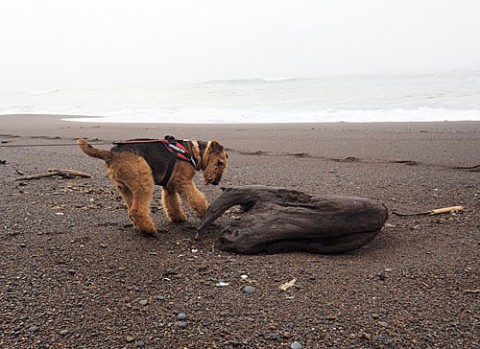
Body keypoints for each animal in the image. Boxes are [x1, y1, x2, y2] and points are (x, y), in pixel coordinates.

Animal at [78, 135, 228, 234]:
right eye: (220, 162)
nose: (216, 182)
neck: (193, 150)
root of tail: (110, 154)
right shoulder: (184, 183)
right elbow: (197, 199)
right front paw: (207, 213)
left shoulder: (169, 187)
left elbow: (172, 203)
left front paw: (178, 218)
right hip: (144, 181)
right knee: (137, 211)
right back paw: (150, 230)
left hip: (125, 188)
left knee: (132, 210)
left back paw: (141, 227)